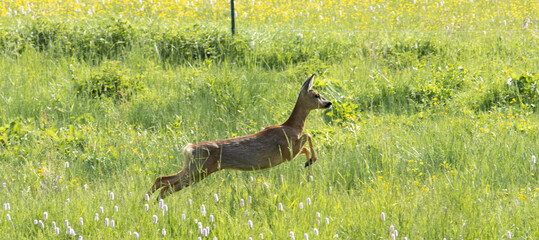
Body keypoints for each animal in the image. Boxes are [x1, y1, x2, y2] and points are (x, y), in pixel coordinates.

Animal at [148, 74, 334, 200]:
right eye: (316, 95)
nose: (329, 103)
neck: (292, 126)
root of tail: (189, 148)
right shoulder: (287, 150)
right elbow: (308, 136)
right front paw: (311, 162)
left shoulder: (290, 151)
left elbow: (306, 144)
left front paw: (309, 169)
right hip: (199, 169)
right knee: (165, 185)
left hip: (194, 168)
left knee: (162, 181)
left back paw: (149, 203)